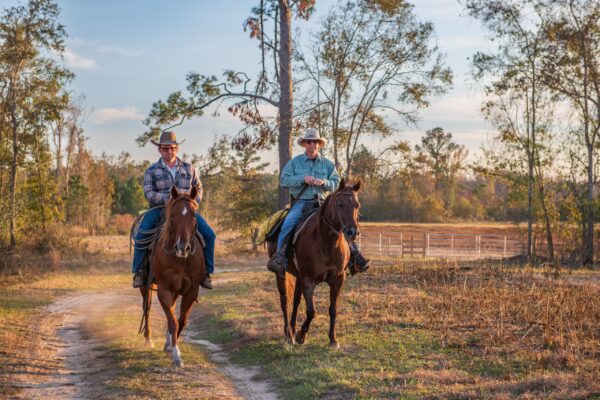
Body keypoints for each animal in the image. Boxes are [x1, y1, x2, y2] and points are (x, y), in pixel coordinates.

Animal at [139, 186, 206, 368]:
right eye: (174, 215)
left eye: (194, 215)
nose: (182, 247)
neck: (181, 259)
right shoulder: (165, 290)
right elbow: (173, 322)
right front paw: (176, 356)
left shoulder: (191, 291)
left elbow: (180, 321)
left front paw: (170, 345)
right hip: (145, 286)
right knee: (146, 307)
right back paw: (148, 340)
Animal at [270, 178, 364, 346]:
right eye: (340, 204)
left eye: (357, 205)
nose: (352, 232)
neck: (327, 243)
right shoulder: (308, 280)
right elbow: (311, 311)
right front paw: (301, 335)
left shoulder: (338, 280)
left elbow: (333, 309)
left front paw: (333, 339)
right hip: (281, 274)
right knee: (285, 302)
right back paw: (288, 334)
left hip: (298, 277)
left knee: (295, 301)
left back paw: (293, 329)